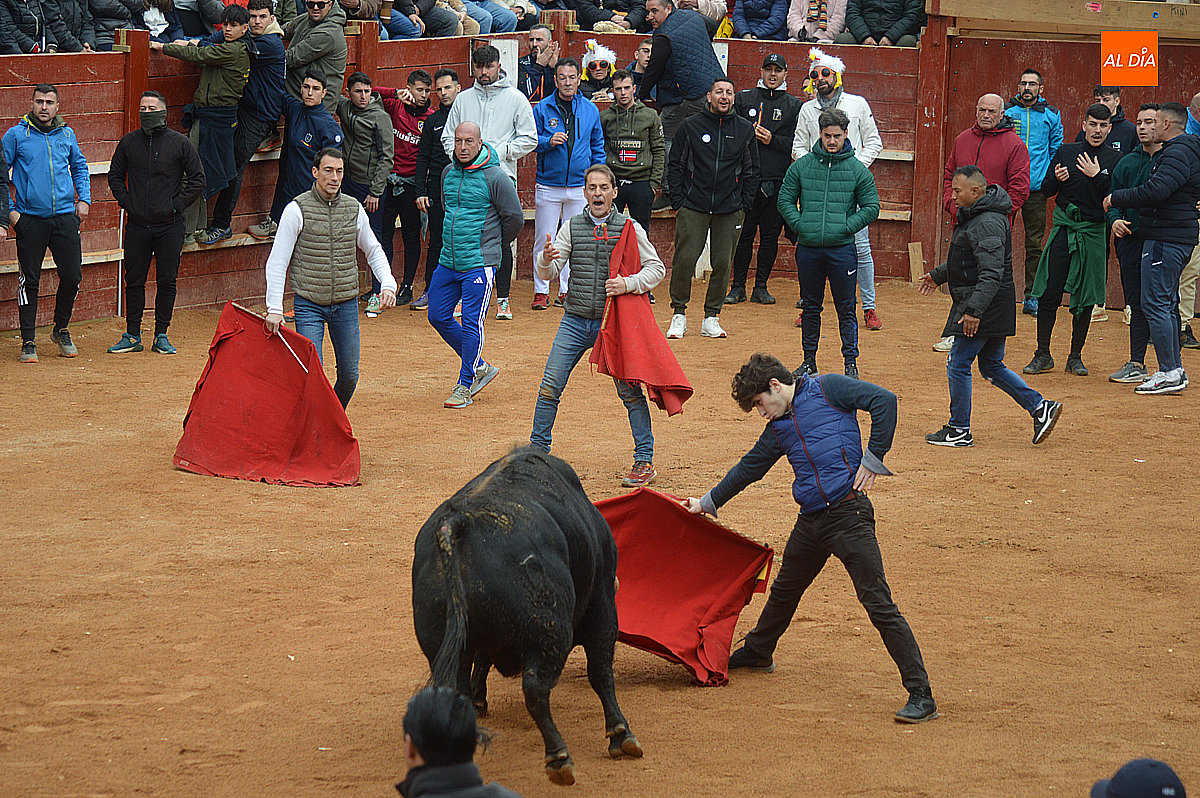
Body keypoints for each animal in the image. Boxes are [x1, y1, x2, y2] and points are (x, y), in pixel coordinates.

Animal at [411, 447, 644, 786]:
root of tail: (456, 522)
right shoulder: (601, 606)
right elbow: (600, 672)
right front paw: (621, 735)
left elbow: (481, 660)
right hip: (550, 633)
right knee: (535, 688)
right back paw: (559, 758)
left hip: (440, 640)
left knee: (457, 692)